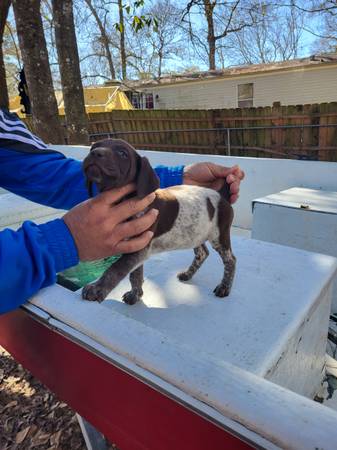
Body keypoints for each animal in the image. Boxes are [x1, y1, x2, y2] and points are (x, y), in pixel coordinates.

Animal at [81, 139, 235, 304]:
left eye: (122, 153)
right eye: (94, 147)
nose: (95, 153)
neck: (125, 199)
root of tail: (220, 194)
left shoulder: (139, 246)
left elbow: (116, 268)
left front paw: (97, 288)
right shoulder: (134, 245)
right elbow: (135, 273)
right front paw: (135, 294)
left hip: (219, 236)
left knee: (230, 260)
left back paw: (224, 287)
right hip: (196, 232)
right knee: (202, 253)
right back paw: (188, 274)